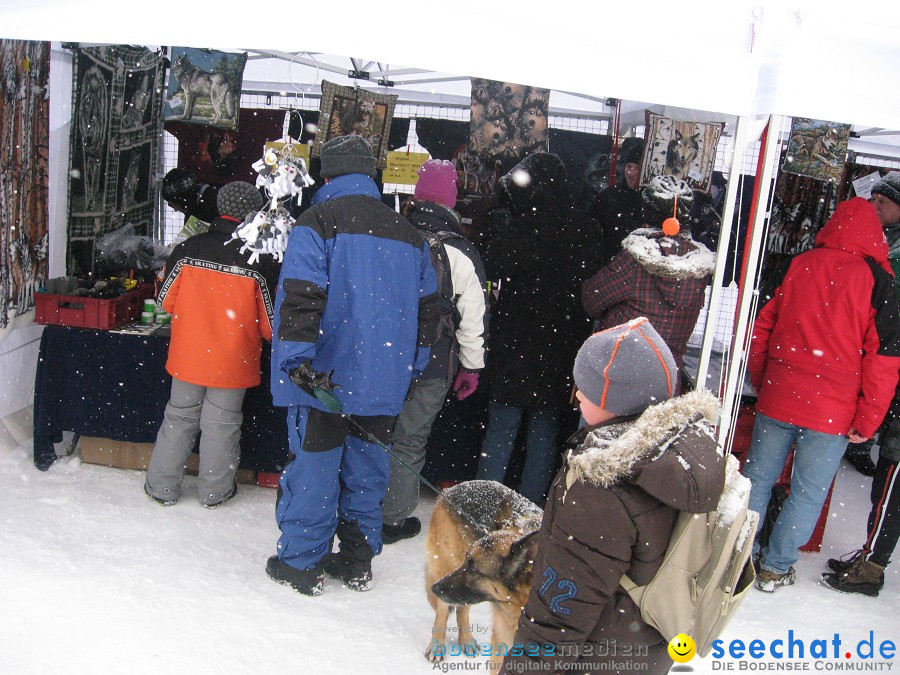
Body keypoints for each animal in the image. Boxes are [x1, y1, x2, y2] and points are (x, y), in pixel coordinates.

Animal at [424, 480, 540, 672]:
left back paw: (466, 641)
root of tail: (453, 488)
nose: (435, 588)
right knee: (442, 612)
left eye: (474, 569)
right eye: (467, 561)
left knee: (461, 609)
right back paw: (437, 646)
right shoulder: (502, 642)